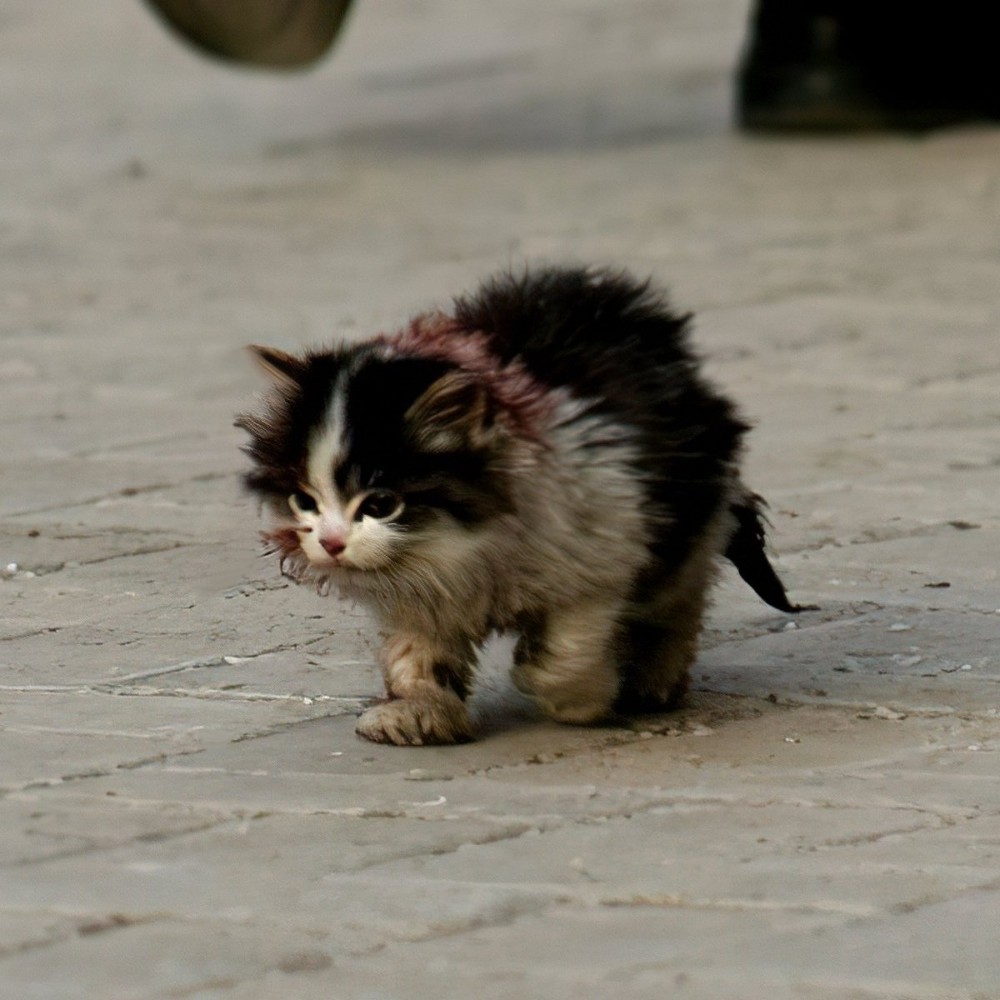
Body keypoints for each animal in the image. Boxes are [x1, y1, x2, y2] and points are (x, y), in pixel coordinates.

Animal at [236, 264, 804, 744]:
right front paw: (418, 713)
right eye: (304, 501)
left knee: (676, 601)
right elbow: (416, 653)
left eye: (380, 504)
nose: (332, 543)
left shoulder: (601, 548)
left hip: (684, 517)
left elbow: (567, 648)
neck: (465, 545)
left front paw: (579, 700)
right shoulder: (421, 593)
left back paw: (653, 683)